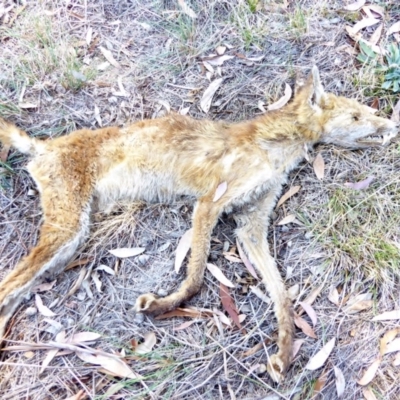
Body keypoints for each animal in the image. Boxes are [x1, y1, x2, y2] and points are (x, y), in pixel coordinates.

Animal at [0, 66, 396, 382]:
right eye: (357, 116)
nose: (393, 124)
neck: (276, 147)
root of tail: (45, 146)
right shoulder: (210, 203)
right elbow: (195, 278)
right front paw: (163, 306)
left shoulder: (251, 225)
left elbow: (282, 298)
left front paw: (284, 354)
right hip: (66, 231)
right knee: (9, 285)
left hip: (70, 242)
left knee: (15, 291)